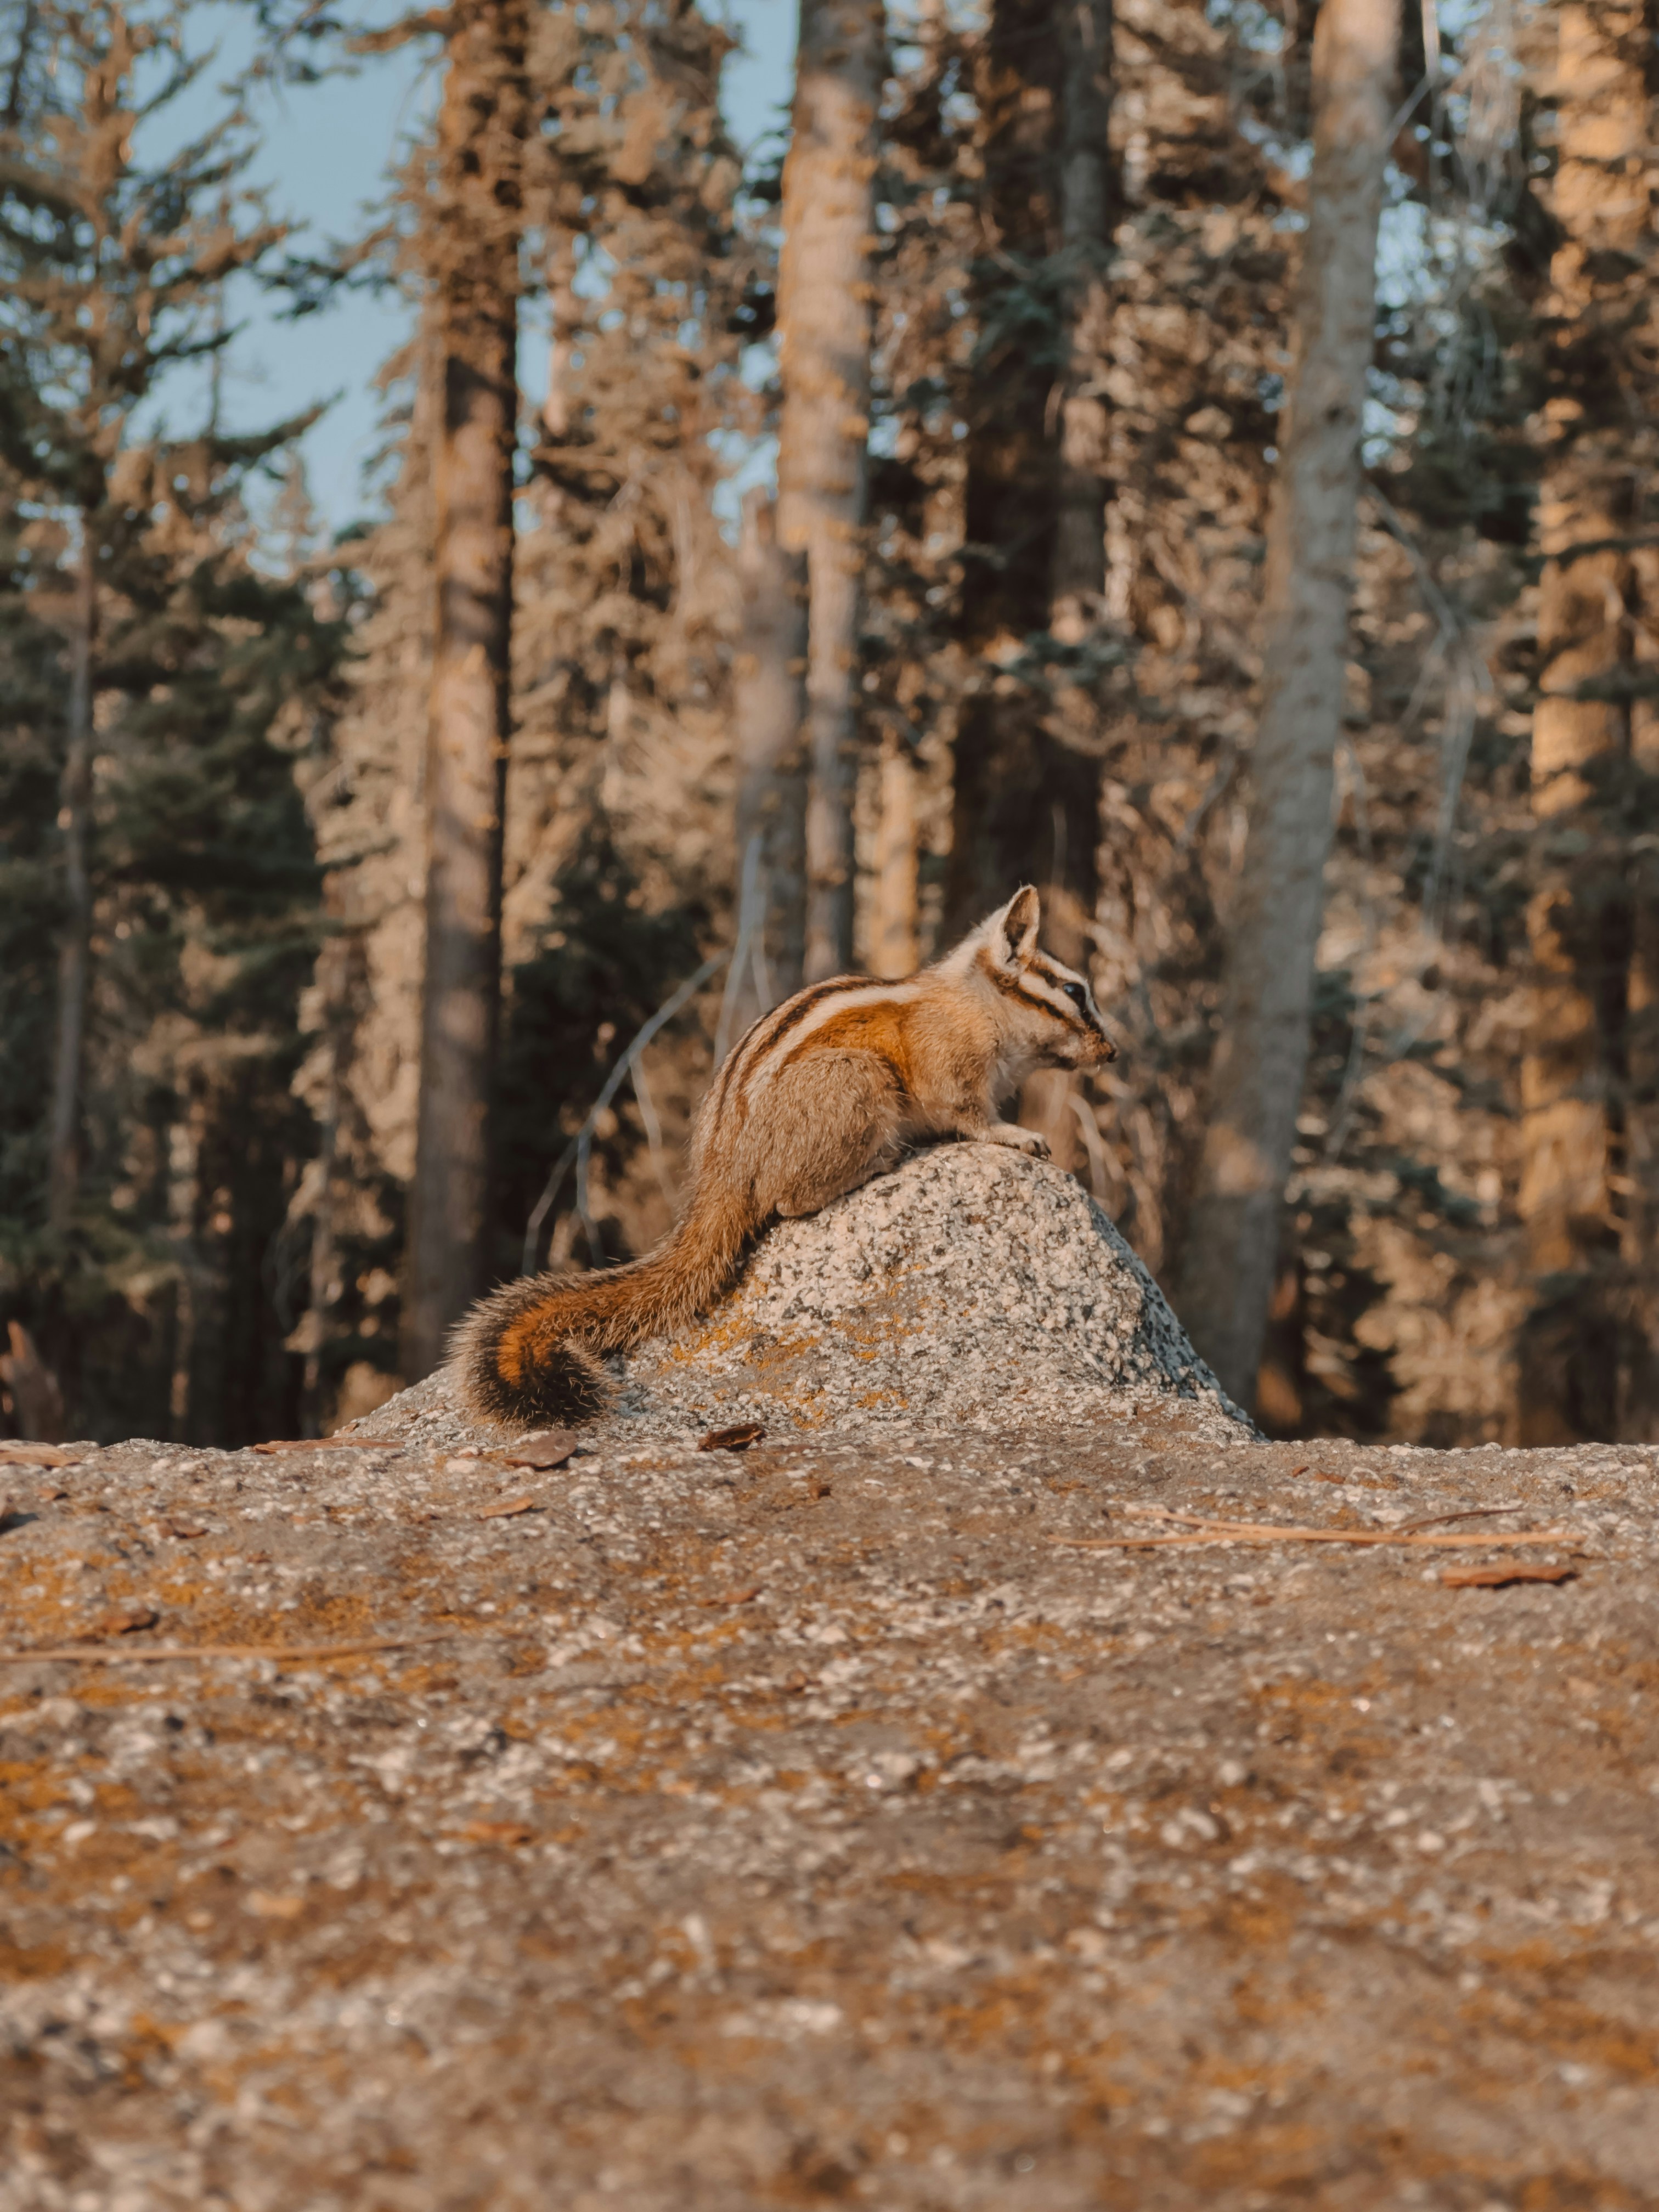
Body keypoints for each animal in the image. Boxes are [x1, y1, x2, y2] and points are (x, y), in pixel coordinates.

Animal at [454, 885, 1117, 1427]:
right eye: (1073, 990)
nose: (1113, 1053)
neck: (973, 1000)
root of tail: (722, 1171)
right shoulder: (951, 1068)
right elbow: (970, 1115)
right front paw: (1017, 1135)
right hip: (856, 1081)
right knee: (787, 1201)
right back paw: (877, 1162)